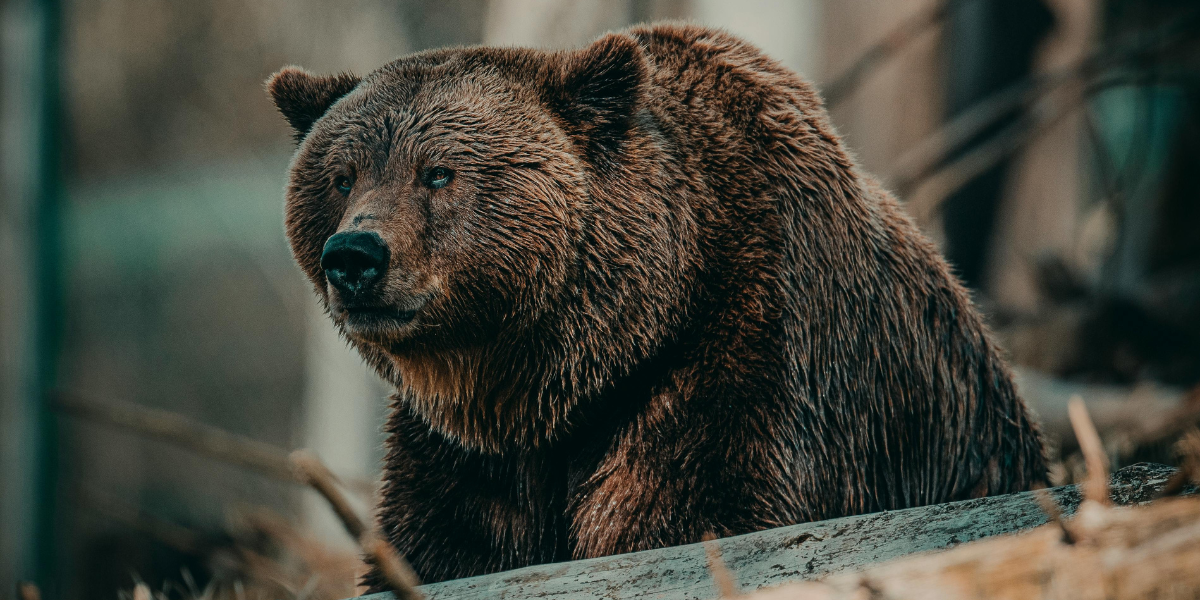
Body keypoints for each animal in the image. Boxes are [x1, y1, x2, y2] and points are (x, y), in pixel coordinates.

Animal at [267, 23, 1046, 588]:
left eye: (438, 173)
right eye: (341, 176)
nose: (355, 256)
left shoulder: (747, 355)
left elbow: (693, 513)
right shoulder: (466, 453)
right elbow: (441, 546)